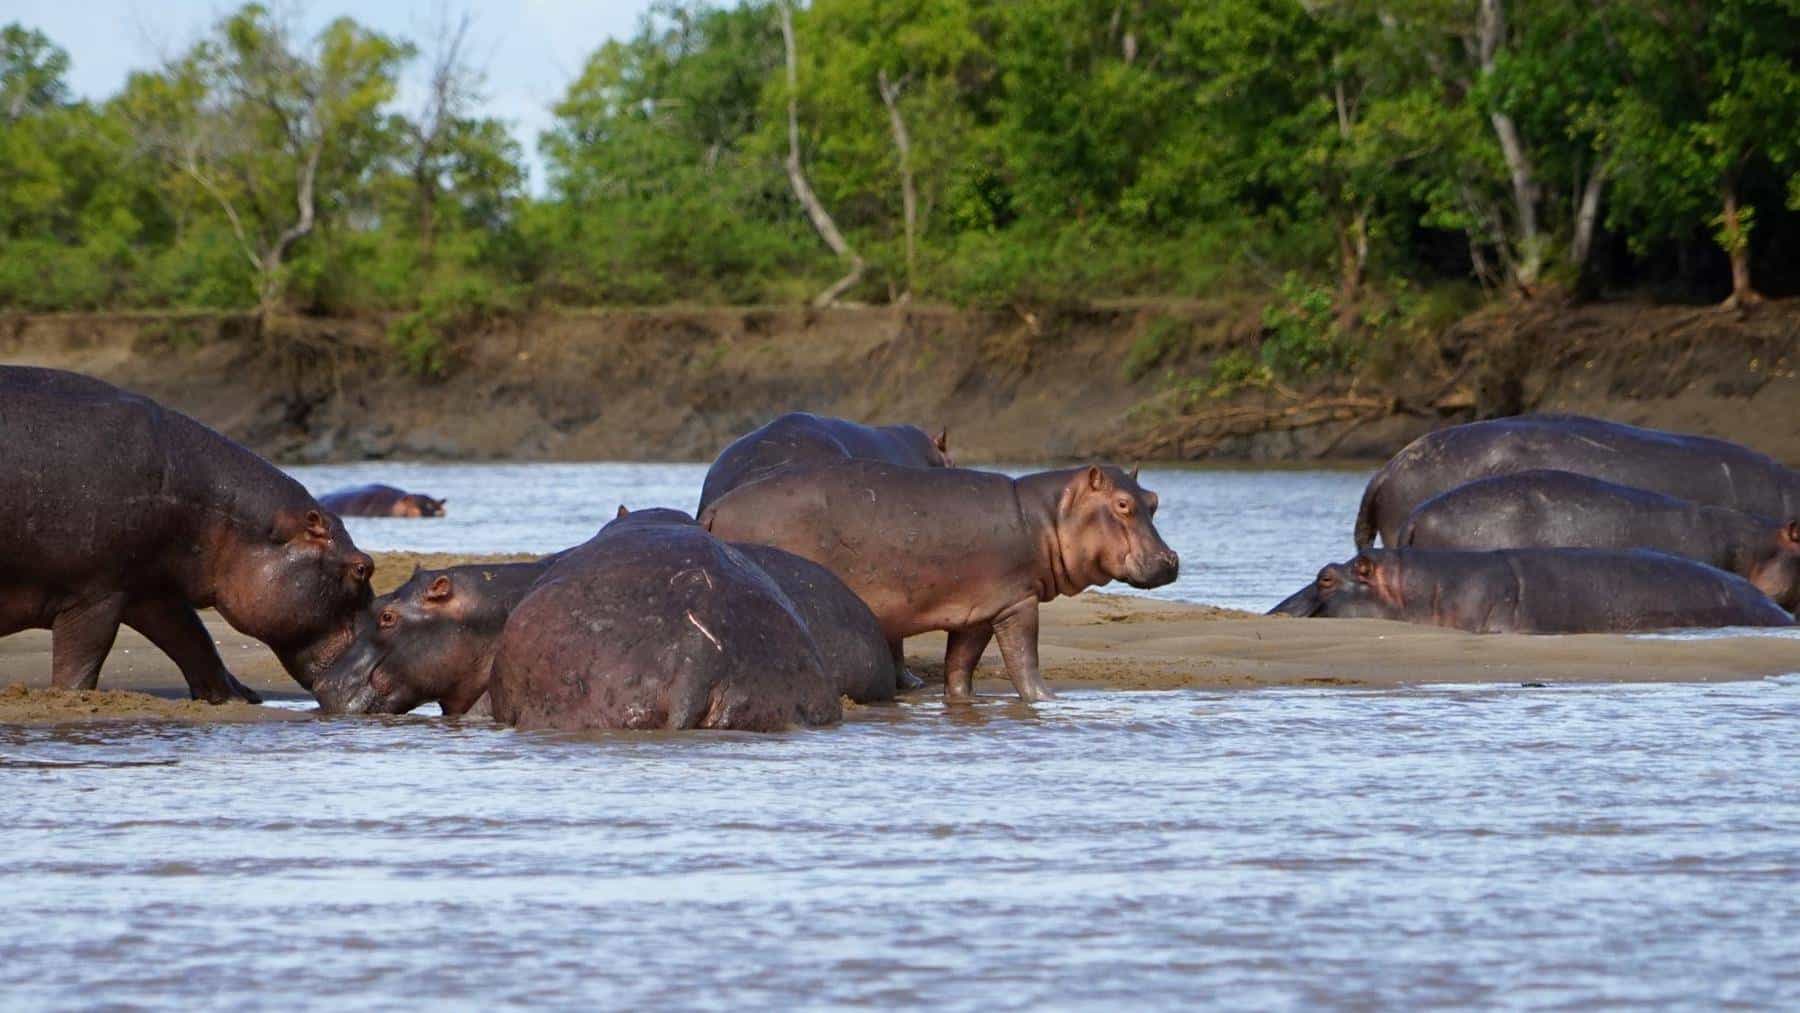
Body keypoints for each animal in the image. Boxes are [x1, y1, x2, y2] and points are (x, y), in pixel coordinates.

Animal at [0, 366, 374, 702]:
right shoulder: (94, 592)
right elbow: (81, 663)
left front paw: (237, 697)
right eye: (363, 568)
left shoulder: (148, 585)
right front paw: (67, 698)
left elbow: (191, 638)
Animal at [700, 462, 1180, 702]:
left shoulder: (979, 612)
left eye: (1154, 500)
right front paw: (1047, 699)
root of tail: (715, 508)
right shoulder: (1017, 602)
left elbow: (959, 666)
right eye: (1122, 504)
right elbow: (1025, 660)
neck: (1048, 518)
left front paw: (961, 702)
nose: (1170, 560)